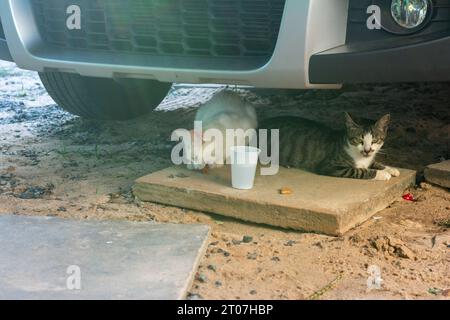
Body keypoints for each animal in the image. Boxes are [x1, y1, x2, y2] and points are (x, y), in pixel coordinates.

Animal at [260, 114, 400, 180]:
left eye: (375, 140)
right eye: (359, 140)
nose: (367, 150)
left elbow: (374, 163)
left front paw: (390, 169)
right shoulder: (331, 166)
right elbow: (359, 171)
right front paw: (382, 174)